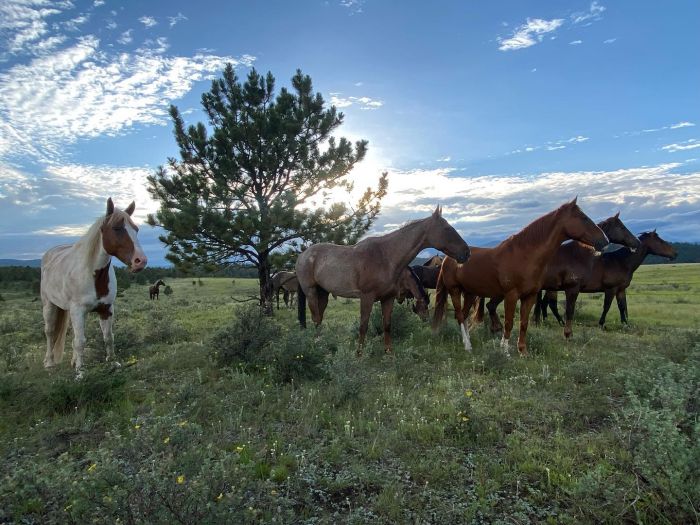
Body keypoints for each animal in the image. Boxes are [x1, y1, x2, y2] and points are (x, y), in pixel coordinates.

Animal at [40, 198, 147, 376]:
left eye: (136, 229)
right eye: (117, 228)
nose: (140, 261)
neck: (93, 275)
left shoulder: (106, 309)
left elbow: (108, 336)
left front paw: (112, 362)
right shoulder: (77, 310)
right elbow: (80, 341)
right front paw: (80, 373)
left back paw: (72, 361)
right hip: (49, 304)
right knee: (50, 332)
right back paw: (49, 363)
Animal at [292, 206, 468, 352]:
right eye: (447, 228)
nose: (466, 252)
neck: (385, 257)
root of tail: (303, 255)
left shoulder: (388, 298)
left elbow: (387, 325)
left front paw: (389, 353)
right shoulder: (366, 297)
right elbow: (363, 326)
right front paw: (359, 354)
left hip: (323, 293)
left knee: (319, 319)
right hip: (311, 292)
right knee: (315, 318)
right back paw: (318, 345)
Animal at [432, 199, 608, 354]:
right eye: (584, 218)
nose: (605, 241)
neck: (525, 256)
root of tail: (447, 258)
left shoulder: (530, 296)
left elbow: (524, 323)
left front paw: (523, 351)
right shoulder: (511, 295)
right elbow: (509, 323)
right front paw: (505, 351)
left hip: (469, 293)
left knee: (464, 316)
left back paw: (468, 343)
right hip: (455, 290)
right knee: (460, 316)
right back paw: (467, 346)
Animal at [484, 212, 644, 338]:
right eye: (622, 227)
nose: (637, 242)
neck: (578, 254)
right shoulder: (573, 288)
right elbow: (569, 311)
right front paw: (568, 333)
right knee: (490, 305)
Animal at [540, 228, 676, 328]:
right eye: (660, 241)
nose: (675, 253)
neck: (620, 262)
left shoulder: (621, 289)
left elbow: (622, 306)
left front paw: (625, 324)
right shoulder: (611, 289)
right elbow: (607, 306)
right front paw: (601, 324)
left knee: (545, 303)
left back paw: (545, 321)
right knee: (551, 304)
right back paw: (560, 323)